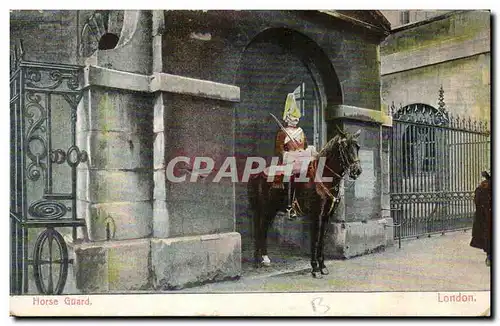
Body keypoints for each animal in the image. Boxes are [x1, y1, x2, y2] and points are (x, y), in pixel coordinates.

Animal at [250, 129, 364, 276]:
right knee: (259, 230)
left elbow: (321, 240)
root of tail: (257, 174)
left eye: (357, 147)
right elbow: (315, 239)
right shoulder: (316, 215)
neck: (324, 176)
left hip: (271, 211)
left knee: (263, 230)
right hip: (263, 209)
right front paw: (315, 268)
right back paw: (257, 261)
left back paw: (264, 258)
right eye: (345, 147)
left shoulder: (326, 216)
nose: (357, 170)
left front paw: (322, 266)